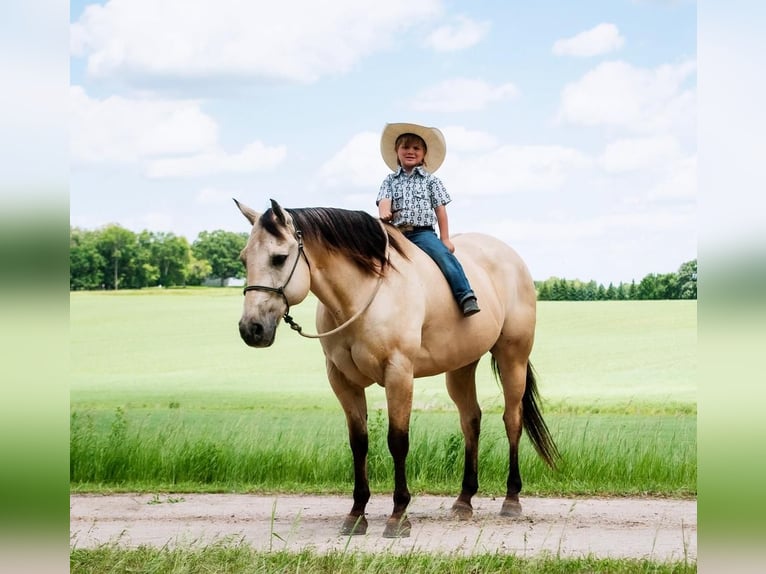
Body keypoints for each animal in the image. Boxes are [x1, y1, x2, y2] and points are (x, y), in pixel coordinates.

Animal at [234, 199, 560, 540]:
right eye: (244, 258)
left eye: (279, 258)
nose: (251, 329)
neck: (361, 295)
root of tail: (511, 257)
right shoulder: (342, 381)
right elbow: (359, 442)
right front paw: (356, 514)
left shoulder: (399, 374)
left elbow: (398, 441)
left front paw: (399, 515)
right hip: (460, 368)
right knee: (471, 421)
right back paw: (464, 500)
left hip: (513, 359)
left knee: (512, 421)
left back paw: (511, 499)